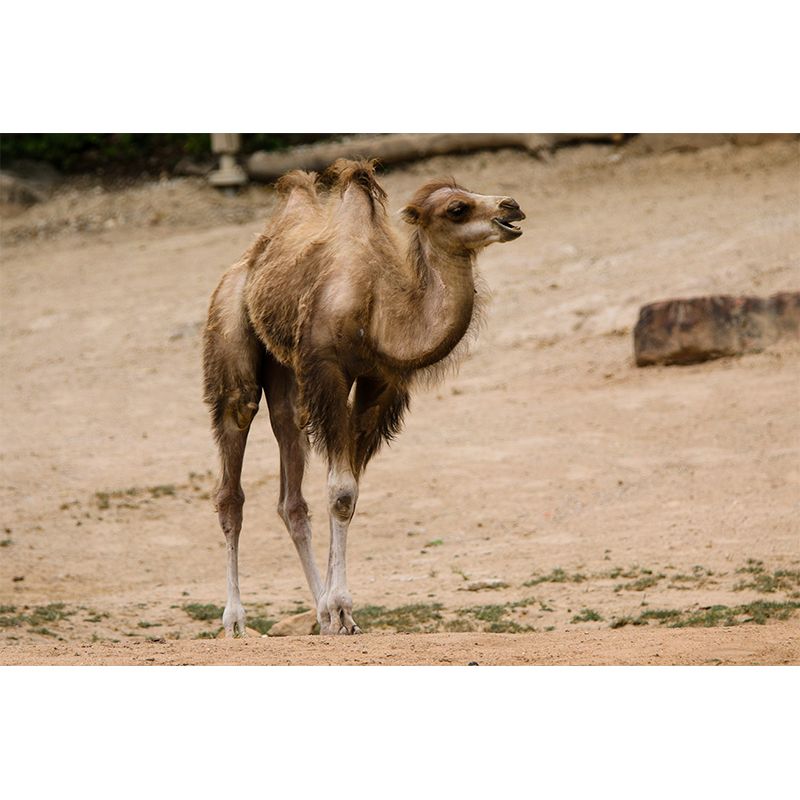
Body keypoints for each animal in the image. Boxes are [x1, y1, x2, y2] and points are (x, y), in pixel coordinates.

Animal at [202, 159, 525, 636]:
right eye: (457, 208)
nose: (511, 206)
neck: (377, 315)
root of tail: (249, 257)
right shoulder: (328, 373)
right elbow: (340, 491)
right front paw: (339, 608)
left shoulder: (379, 382)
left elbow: (347, 491)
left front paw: (339, 614)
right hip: (230, 328)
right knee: (233, 470)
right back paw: (235, 621)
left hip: (286, 372)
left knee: (290, 485)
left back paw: (315, 613)